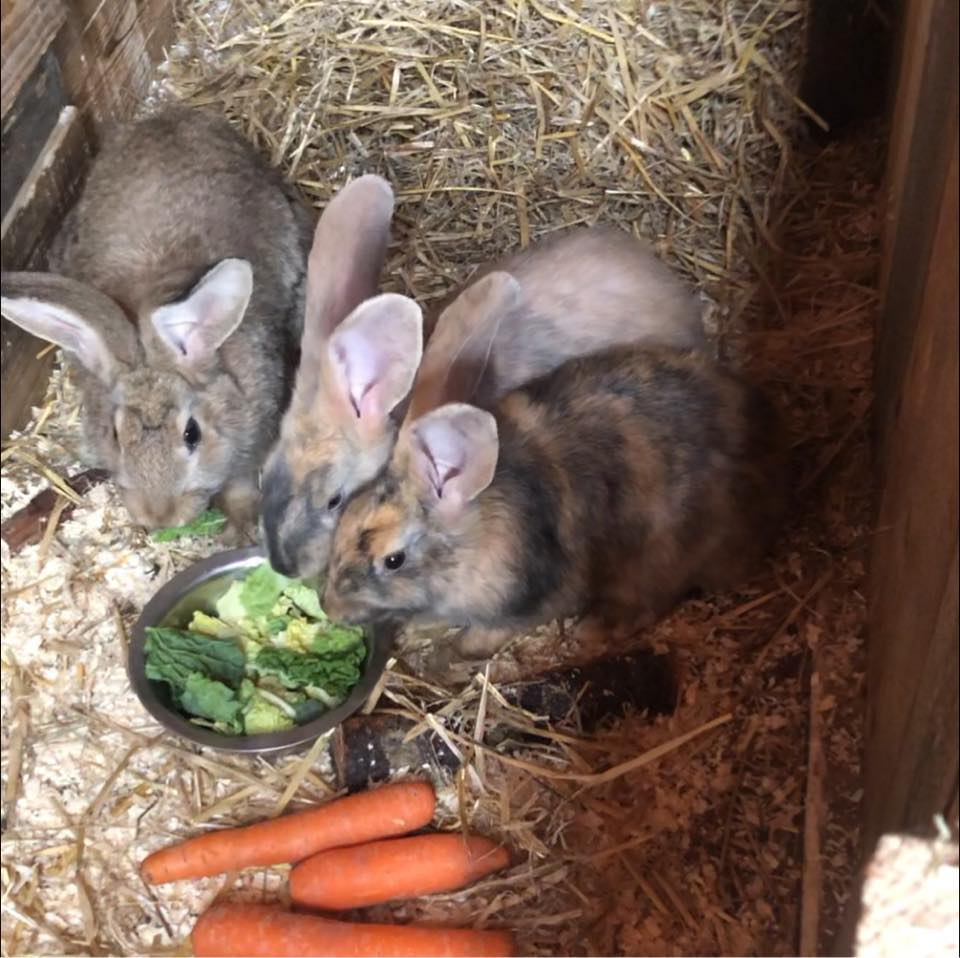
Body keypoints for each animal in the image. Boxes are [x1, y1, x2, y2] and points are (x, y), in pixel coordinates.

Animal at [0, 105, 314, 536]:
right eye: (115, 434)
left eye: (192, 434)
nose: (158, 517)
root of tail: (172, 117)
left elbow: (240, 484)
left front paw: (244, 524)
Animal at [321, 333, 787, 659]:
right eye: (345, 516)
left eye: (393, 560)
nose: (330, 607)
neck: (475, 539)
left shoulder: (533, 601)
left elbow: (489, 631)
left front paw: (457, 651)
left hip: (655, 564)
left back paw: (591, 631)